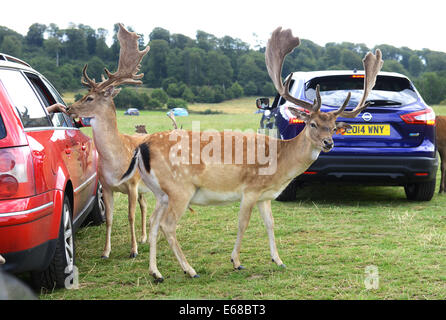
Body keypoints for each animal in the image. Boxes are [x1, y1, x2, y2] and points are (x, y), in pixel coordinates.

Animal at [65, 23, 151, 258]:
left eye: (90, 98)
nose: (68, 108)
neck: (115, 162)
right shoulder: (107, 186)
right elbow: (110, 218)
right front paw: (106, 251)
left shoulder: (132, 184)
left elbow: (129, 216)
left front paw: (133, 251)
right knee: (145, 206)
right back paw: (144, 237)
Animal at [118, 27, 384, 282]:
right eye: (313, 124)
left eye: (333, 126)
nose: (328, 143)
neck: (280, 164)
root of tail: (142, 146)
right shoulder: (250, 189)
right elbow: (242, 224)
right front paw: (236, 261)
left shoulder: (265, 196)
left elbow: (270, 224)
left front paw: (278, 260)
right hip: (180, 188)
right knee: (168, 225)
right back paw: (190, 270)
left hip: (161, 192)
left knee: (153, 223)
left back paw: (156, 273)